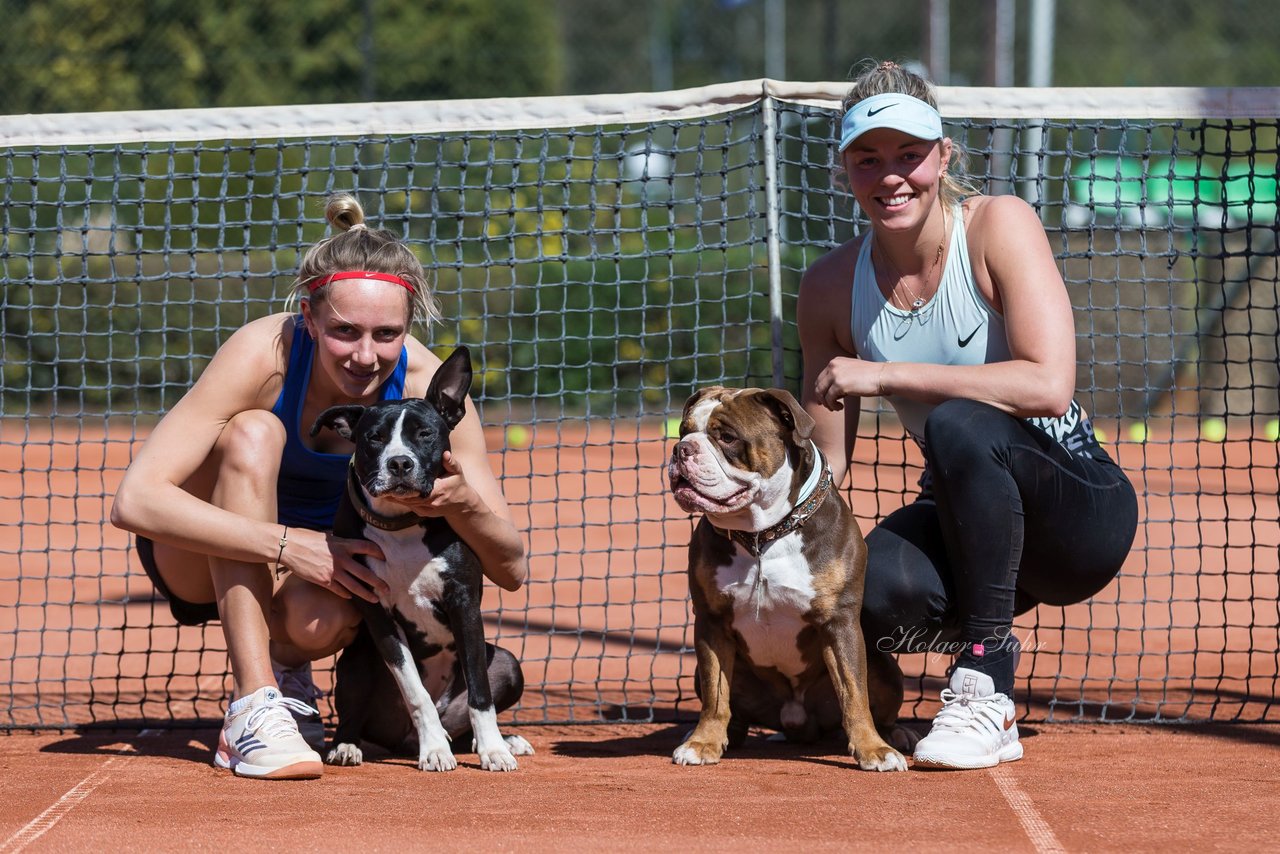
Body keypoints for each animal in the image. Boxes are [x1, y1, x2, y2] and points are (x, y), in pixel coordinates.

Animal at [312, 348, 532, 773]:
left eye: (425, 434)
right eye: (375, 438)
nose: (399, 463)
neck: (402, 525)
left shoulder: (463, 604)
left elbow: (481, 693)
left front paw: (494, 749)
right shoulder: (378, 614)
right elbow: (416, 692)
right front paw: (433, 750)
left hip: (508, 663)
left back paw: (503, 741)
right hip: (356, 662)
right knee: (355, 715)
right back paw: (348, 746)